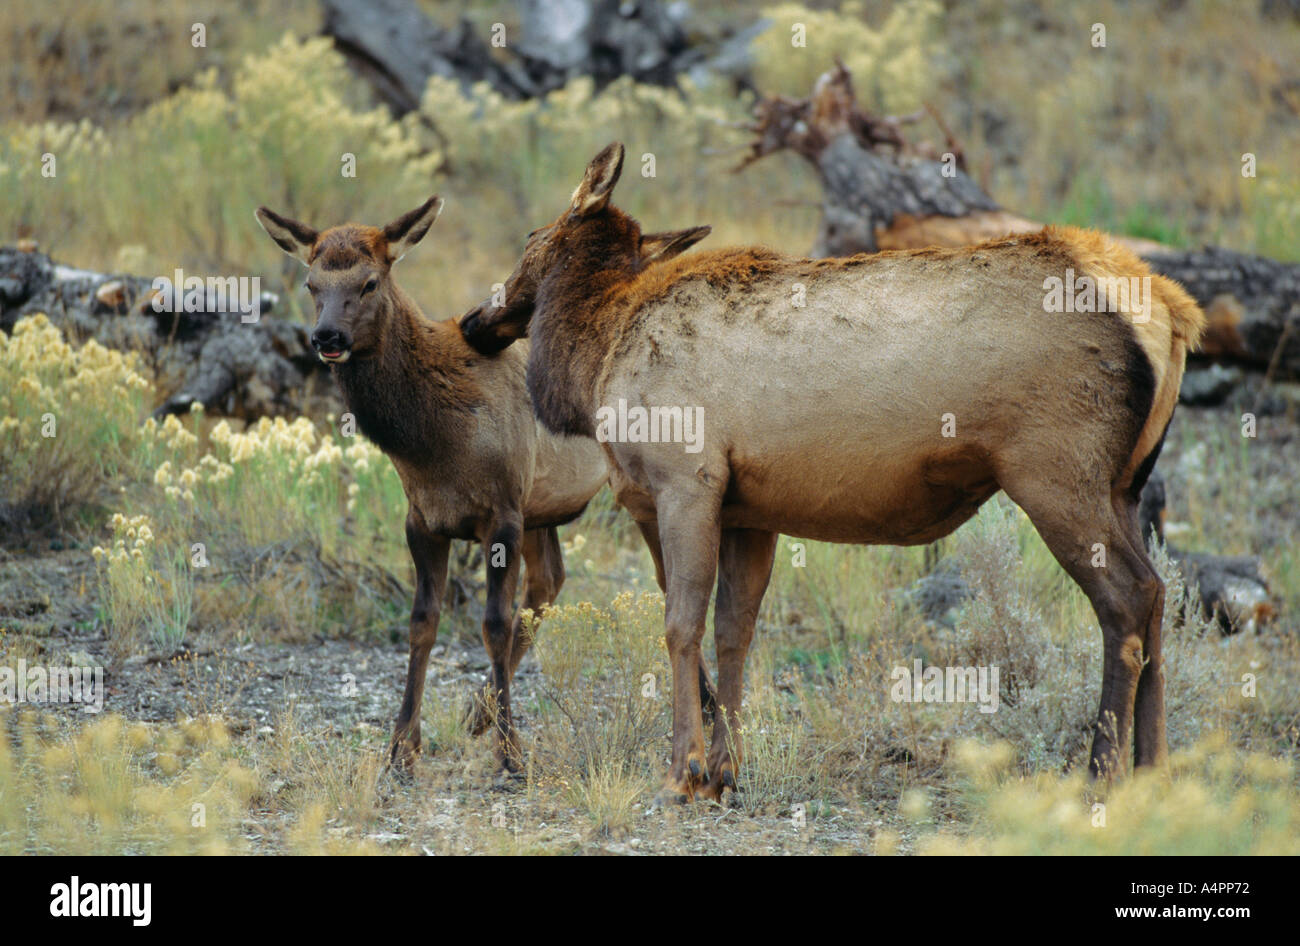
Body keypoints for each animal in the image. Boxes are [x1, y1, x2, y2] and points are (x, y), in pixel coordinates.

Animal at [254, 193, 717, 774]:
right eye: (311, 284)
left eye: (370, 282)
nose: (327, 337)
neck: (432, 445)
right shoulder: (423, 519)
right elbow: (422, 622)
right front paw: (402, 746)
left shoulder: (503, 512)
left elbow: (493, 623)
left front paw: (512, 752)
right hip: (543, 504)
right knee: (551, 580)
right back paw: (479, 710)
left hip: (639, 487)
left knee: (662, 581)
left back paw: (709, 709)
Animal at [465, 142, 1206, 805]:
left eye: (532, 236)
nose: (475, 320)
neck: (595, 362)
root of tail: (1174, 315)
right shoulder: (748, 510)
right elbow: (735, 631)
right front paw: (726, 773)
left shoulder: (685, 481)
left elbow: (681, 625)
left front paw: (684, 773)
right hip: (1125, 484)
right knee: (1160, 593)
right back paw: (1156, 770)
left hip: (1054, 471)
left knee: (1126, 600)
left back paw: (1103, 772)